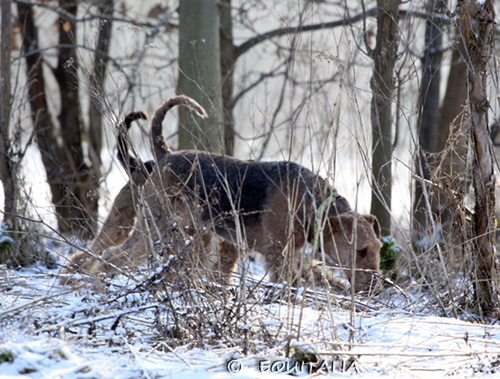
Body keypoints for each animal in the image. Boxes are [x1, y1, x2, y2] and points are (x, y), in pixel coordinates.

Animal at [62, 96, 382, 292]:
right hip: (154, 228)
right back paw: (96, 285)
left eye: (378, 247)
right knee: (110, 256)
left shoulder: (268, 251)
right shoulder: (278, 255)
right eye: (361, 251)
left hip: (184, 233)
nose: (375, 286)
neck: (311, 201)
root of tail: (164, 156)